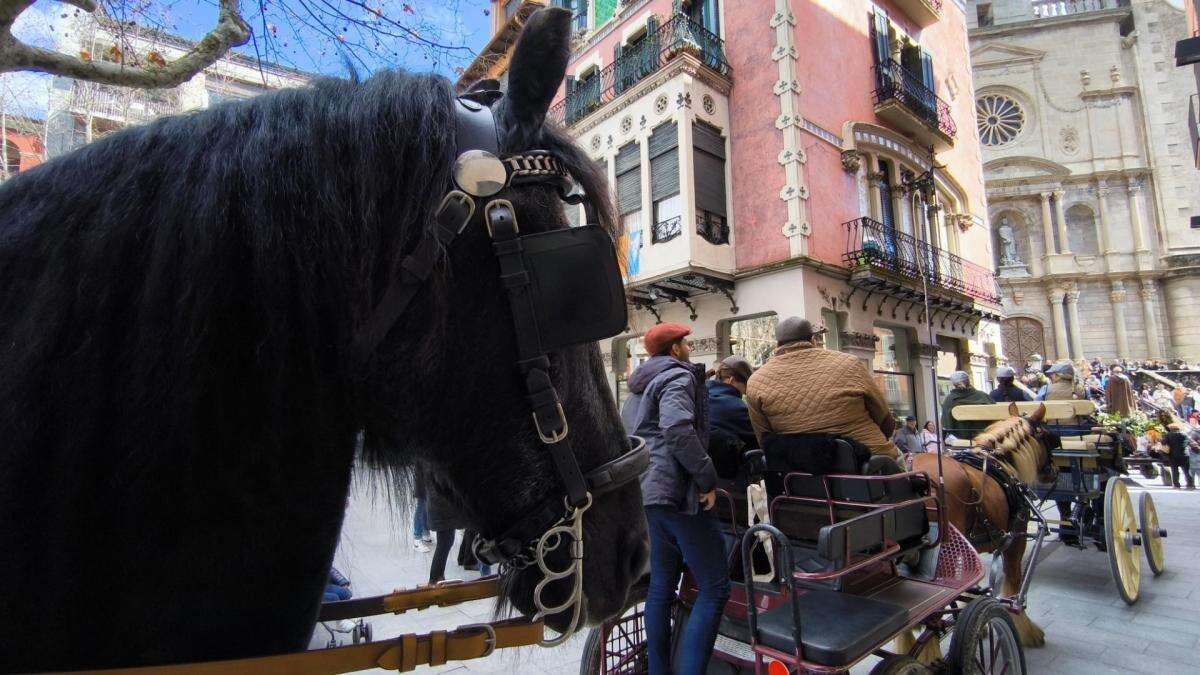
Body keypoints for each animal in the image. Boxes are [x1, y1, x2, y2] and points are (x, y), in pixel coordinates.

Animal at [907, 398, 1051, 653]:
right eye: (1047, 434)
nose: (1054, 472)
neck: (1000, 460)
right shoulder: (1017, 539)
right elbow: (1014, 586)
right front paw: (1026, 630)